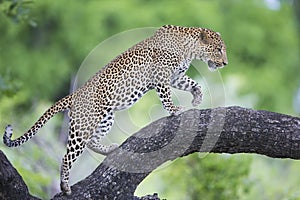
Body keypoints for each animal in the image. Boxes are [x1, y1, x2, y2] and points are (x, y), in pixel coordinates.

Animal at [2, 24, 227, 195]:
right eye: (218, 49)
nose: (225, 63)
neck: (189, 49)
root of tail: (75, 95)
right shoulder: (162, 78)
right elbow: (166, 97)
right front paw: (174, 110)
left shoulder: (175, 77)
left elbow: (192, 83)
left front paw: (197, 98)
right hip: (83, 126)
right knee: (68, 156)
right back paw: (65, 187)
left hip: (106, 118)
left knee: (91, 141)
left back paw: (108, 149)